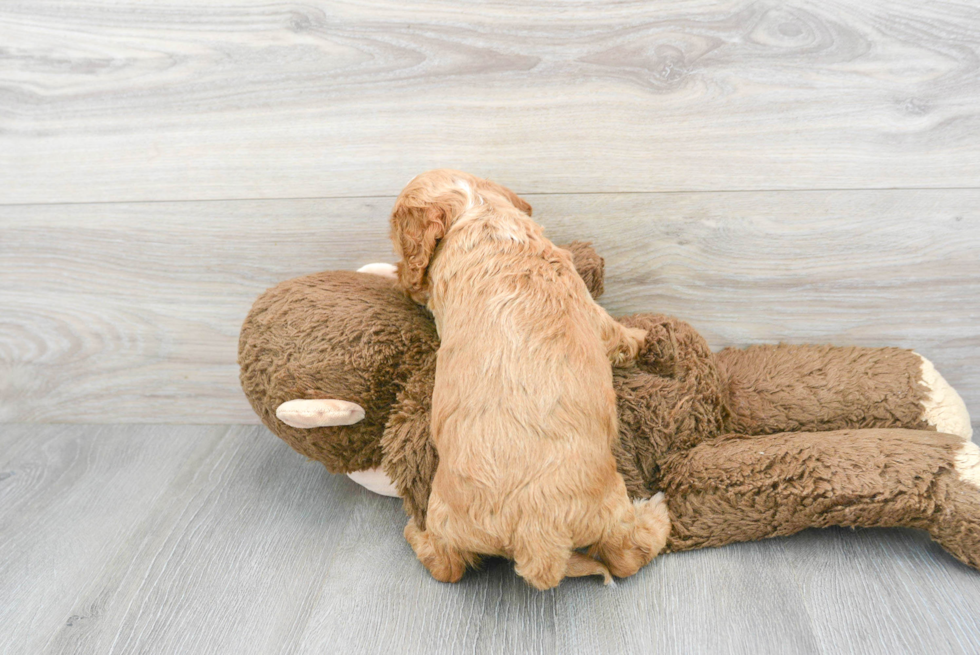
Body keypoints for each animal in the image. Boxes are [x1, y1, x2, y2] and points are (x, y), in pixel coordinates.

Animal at [386, 169, 668, 588]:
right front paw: (641, 337)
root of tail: (535, 538)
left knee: (446, 565)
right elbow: (617, 335)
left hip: (447, 518)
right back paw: (657, 512)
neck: (479, 213)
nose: (400, 279)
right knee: (626, 555)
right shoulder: (591, 311)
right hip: (609, 507)